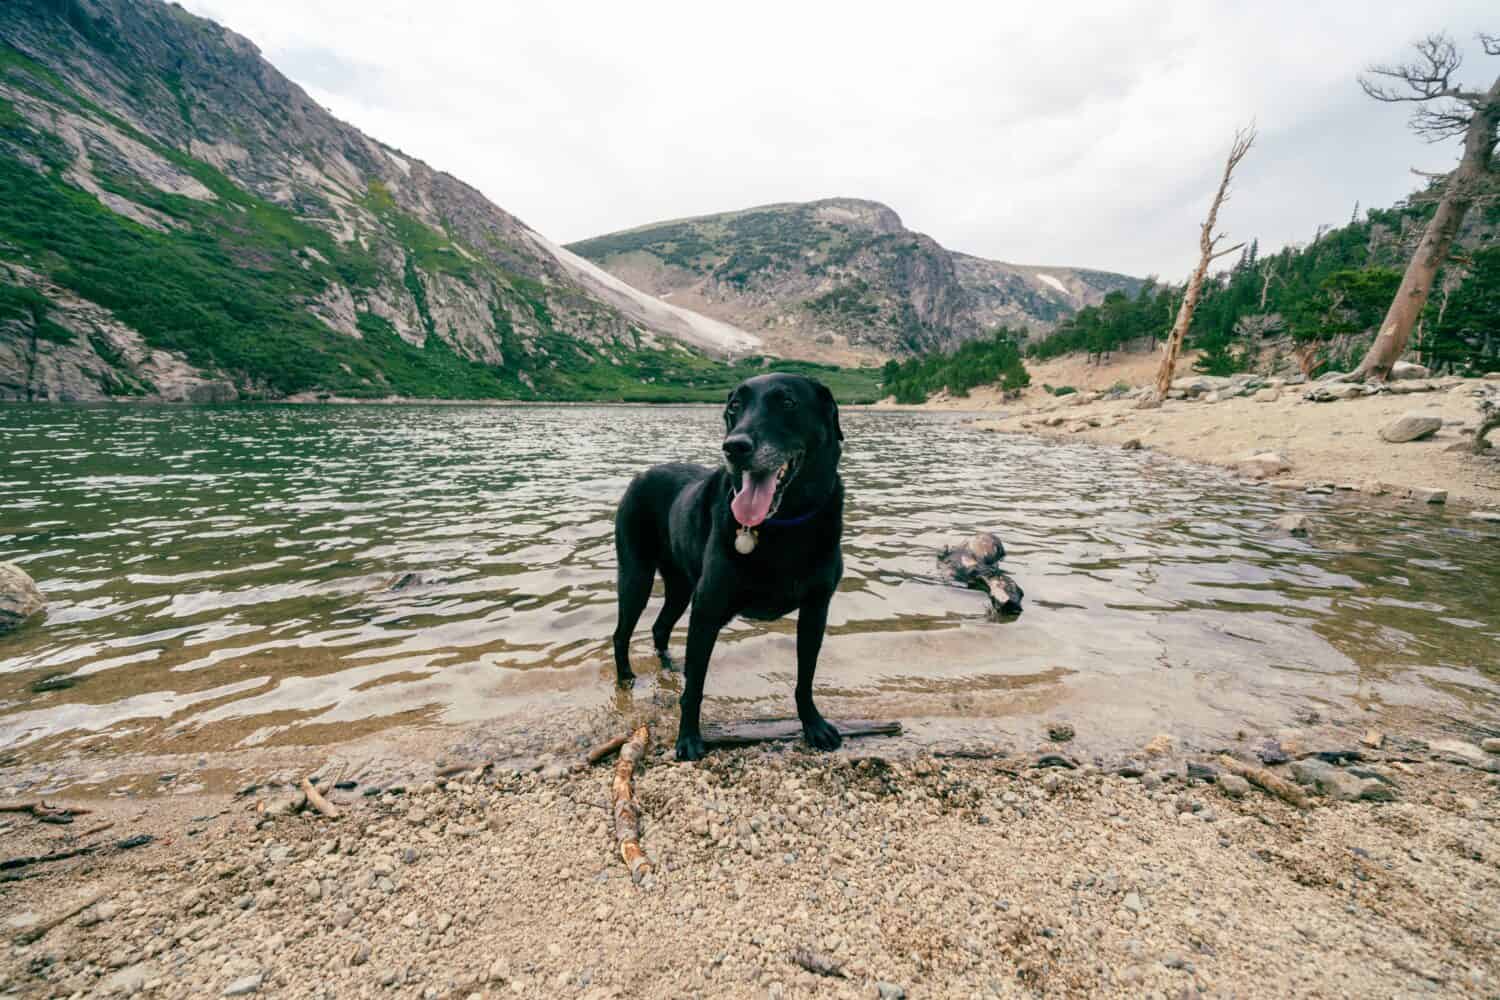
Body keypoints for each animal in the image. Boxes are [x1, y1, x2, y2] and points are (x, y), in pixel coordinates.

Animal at [609, 373, 846, 758]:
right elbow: (695, 689)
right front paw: (688, 738)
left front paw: (814, 725)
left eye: (788, 403)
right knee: (621, 633)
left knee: (660, 627)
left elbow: (805, 677)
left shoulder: (816, 609)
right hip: (636, 576)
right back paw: (627, 678)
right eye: (735, 406)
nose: (734, 447)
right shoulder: (707, 609)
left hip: (680, 587)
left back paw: (670, 666)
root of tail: (642, 474)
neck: (784, 523)